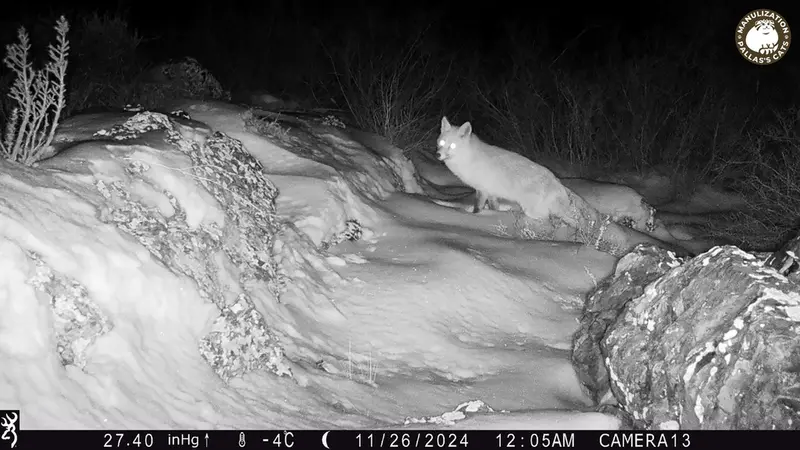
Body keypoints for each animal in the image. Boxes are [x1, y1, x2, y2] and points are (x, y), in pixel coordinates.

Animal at [435, 116, 690, 256]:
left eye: (452, 146)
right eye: (441, 143)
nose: (438, 155)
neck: (469, 159)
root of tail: (556, 182)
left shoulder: (483, 190)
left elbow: (479, 208)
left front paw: (475, 218)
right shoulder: (492, 193)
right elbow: (493, 207)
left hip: (534, 211)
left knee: (547, 224)